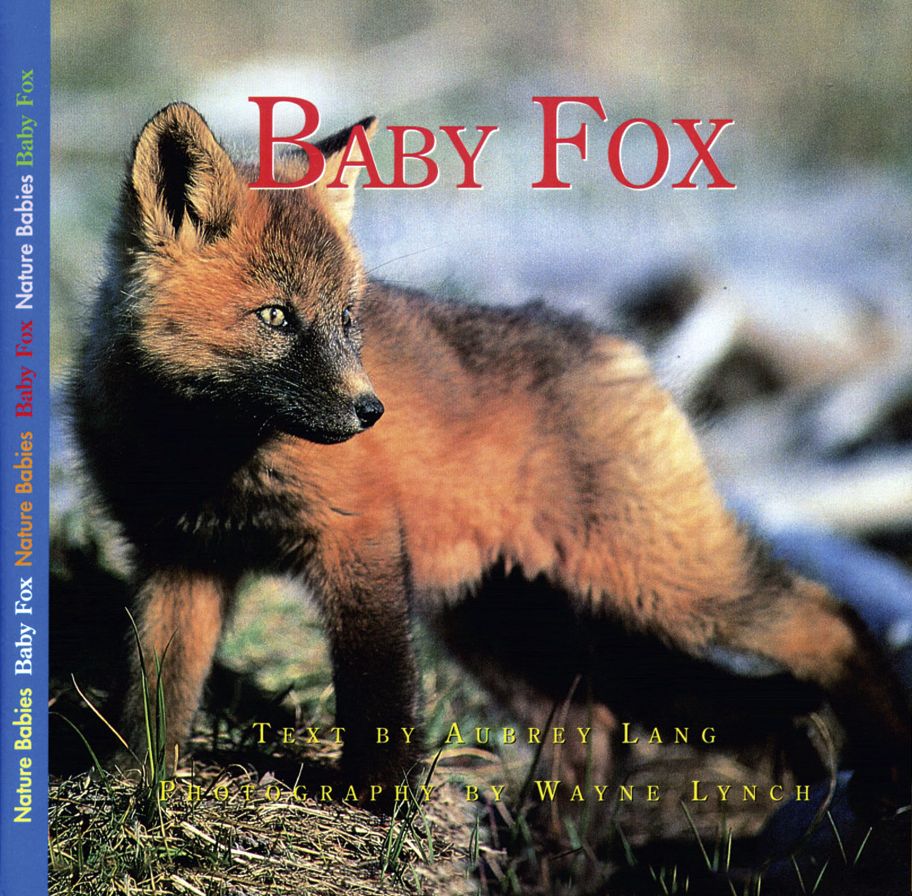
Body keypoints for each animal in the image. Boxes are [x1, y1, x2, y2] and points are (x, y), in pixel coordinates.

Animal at [73, 102, 909, 807]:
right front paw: (132, 786)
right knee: (595, 726)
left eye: (347, 319)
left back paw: (885, 761)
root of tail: (619, 345)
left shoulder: (359, 543)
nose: (371, 412)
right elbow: (155, 695)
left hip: (671, 588)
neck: (207, 458)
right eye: (277, 317)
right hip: (506, 634)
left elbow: (378, 690)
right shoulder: (178, 561)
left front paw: (379, 799)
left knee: (832, 620)